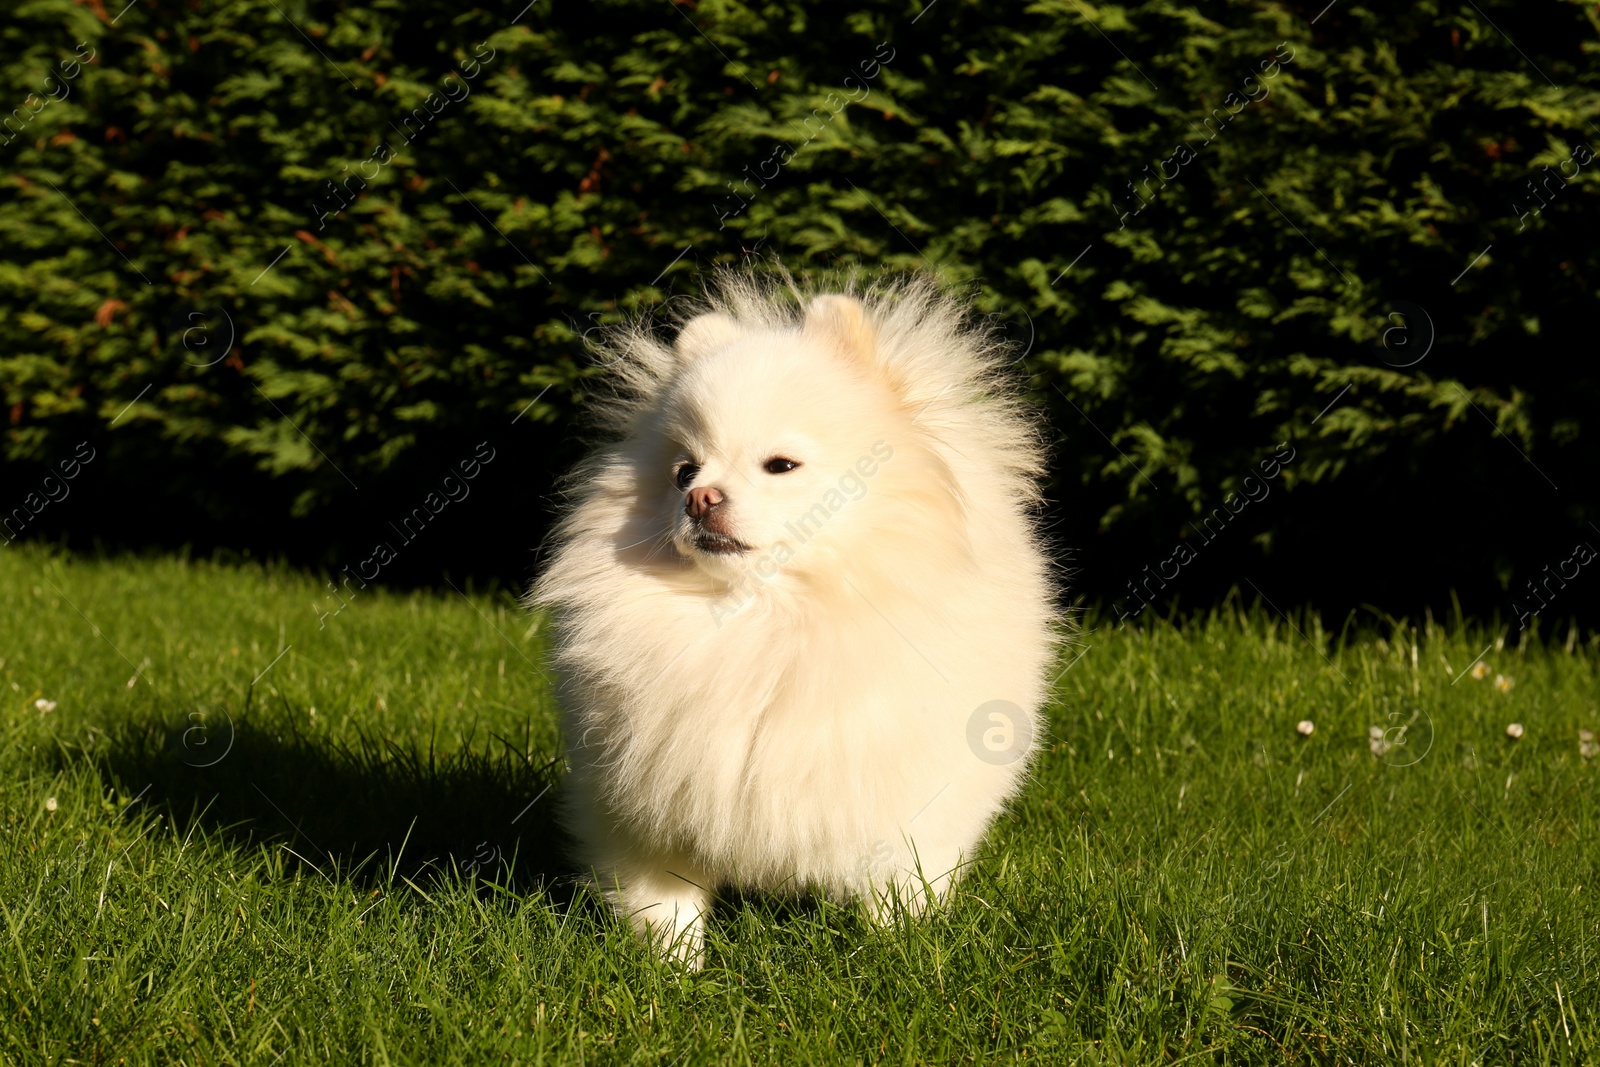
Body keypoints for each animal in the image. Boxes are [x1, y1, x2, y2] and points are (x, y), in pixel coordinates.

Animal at [534, 271, 1062, 966]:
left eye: (780, 465)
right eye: (683, 471)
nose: (699, 497)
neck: (768, 618)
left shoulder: (906, 794)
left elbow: (899, 886)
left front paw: (896, 955)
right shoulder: (643, 801)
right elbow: (664, 902)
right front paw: (673, 969)